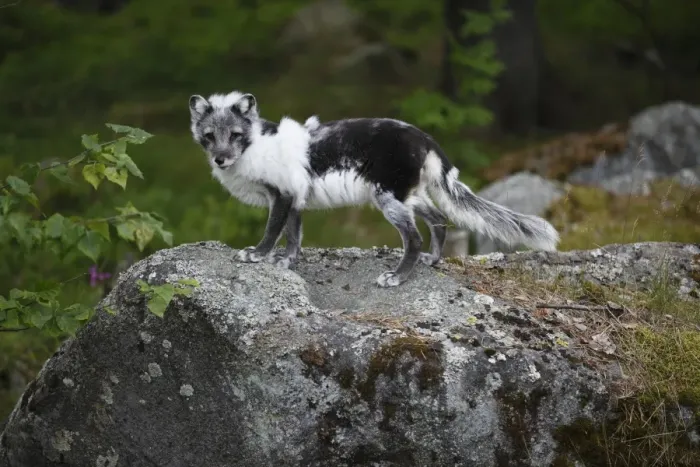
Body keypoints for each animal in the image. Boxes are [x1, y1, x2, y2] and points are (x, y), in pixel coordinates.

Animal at [188, 90, 560, 287]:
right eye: (209, 136)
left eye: (235, 135)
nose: (220, 159)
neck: (256, 146)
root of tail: (425, 137)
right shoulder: (295, 197)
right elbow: (293, 237)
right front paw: (287, 262)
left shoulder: (281, 197)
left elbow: (271, 232)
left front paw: (256, 255)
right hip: (409, 197)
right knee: (439, 220)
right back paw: (433, 261)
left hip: (389, 199)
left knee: (414, 237)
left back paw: (397, 277)